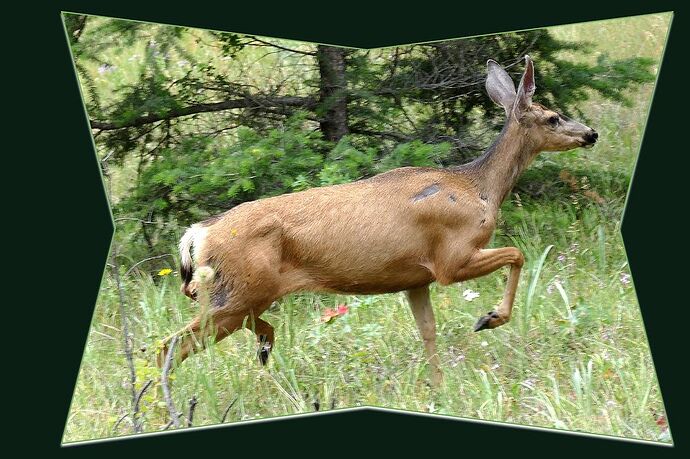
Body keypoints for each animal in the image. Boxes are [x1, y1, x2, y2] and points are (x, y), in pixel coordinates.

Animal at [157, 54, 596, 388]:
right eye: (553, 117)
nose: (591, 133)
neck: (478, 187)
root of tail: (199, 234)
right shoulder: (450, 259)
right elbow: (517, 254)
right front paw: (490, 318)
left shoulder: (416, 279)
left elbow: (428, 331)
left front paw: (439, 387)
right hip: (237, 294)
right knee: (169, 347)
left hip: (235, 295)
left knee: (209, 334)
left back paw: (262, 347)